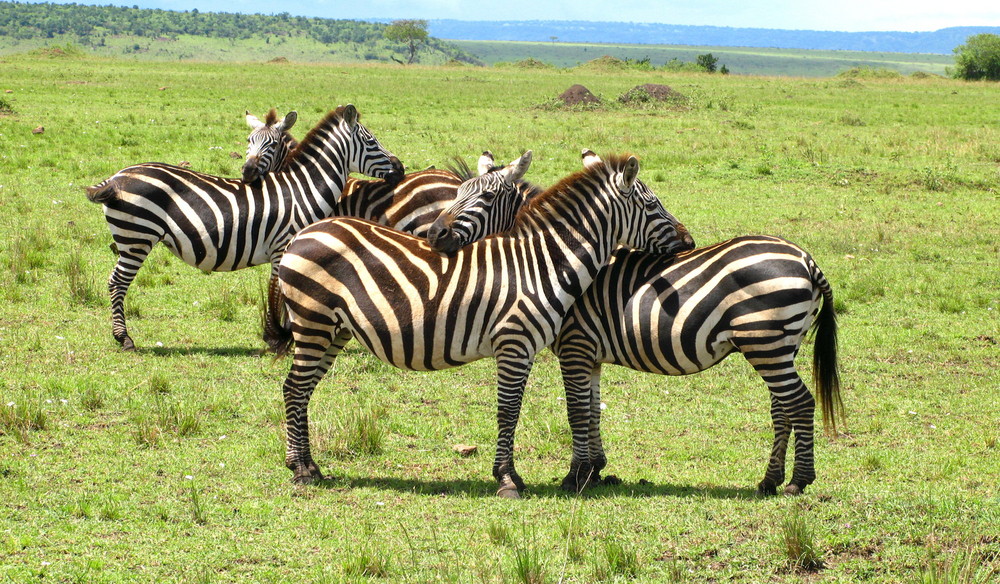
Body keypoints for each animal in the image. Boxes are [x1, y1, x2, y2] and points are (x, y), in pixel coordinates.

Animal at [86, 104, 404, 352]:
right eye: (372, 142)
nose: (400, 169)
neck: (303, 189)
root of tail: (115, 178)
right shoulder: (282, 247)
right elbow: (280, 293)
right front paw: (279, 338)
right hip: (136, 237)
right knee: (117, 282)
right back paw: (124, 338)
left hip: (132, 239)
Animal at [264, 152, 696, 498]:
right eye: (653, 204)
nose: (689, 241)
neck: (541, 263)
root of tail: (304, 233)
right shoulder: (516, 344)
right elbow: (510, 411)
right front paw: (508, 479)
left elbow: (570, 408)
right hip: (314, 322)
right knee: (294, 388)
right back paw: (300, 470)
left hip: (333, 329)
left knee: (301, 390)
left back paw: (310, 466)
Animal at [430, 160, 844, 498]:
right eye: (456, 194)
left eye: (483, 198)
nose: (435, 235)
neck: (552, 262)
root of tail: (806, 259)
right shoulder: (590, 354)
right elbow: (592, 410)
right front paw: (596, 470)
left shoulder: (575, 345)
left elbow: (576, 411)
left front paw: (575, 477)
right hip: (780, 345)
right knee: (782, 408)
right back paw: (769, 480)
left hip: (766, 342)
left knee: (799, 403)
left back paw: (798, 481)